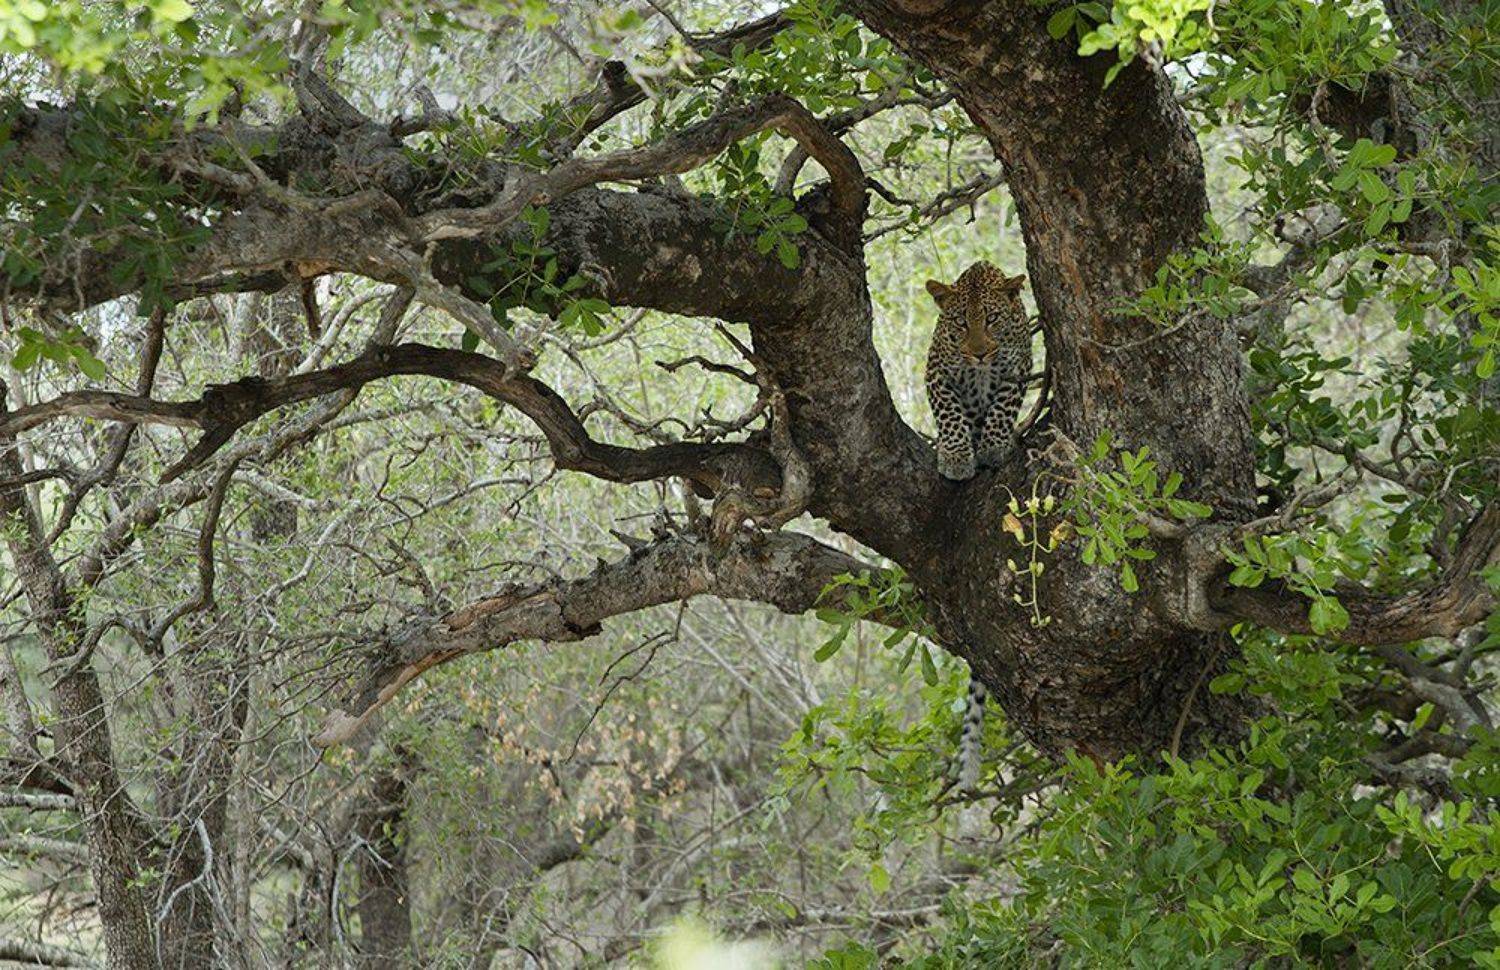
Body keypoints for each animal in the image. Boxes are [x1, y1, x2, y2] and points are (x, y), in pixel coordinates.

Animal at [923, 261, 1031, 482]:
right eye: (960, 321)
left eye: (992, 318)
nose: (979, 354)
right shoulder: (936, 370)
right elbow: (949, 413)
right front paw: (956, 457)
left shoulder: (1019, 366)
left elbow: (1002, 408)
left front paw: (992, 449)